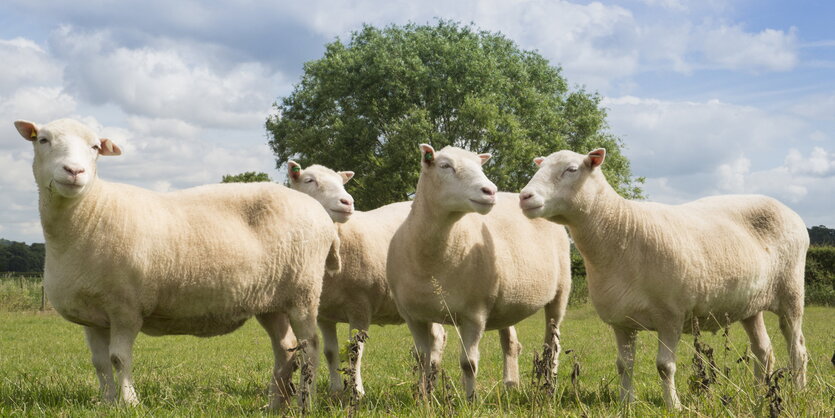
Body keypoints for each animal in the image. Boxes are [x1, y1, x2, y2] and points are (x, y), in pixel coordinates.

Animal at [13, 118, 340, 412]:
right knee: (286, 349)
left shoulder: (125, 308)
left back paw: (306, 402)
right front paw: (106, 403)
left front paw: (130, 403)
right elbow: (100, 363)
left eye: (95, 147)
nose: (74, 171)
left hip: (304, 291)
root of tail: (322, 216)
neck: (91, 211)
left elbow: (119, 358)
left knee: (310, 346)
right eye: (43, 140)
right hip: (271, 301)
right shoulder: (92, 317)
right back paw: (276, 404)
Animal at [286, 162, 524, 396]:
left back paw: (510, 383)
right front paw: (335, 391)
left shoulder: (360, 307)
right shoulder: (324, 314)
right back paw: (433, 382)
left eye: (341, 182)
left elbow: (355, 352)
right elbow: (330, 352)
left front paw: (357, 391)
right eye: (309, 180)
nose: (347, 202)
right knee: (438, 338)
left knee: (508, 339)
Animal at [386, 145, 572, 400]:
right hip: (508, 301)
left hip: (561, 292)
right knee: (511, 342)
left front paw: (470, 399)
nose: (490, 191)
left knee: (552, 346)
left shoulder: (474, 313)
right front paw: (423, 398)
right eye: (445, 165)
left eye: (479, 165)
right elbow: (423, 359)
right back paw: (511, 384)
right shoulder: (413, 316)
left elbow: (468, 363)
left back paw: (549, 386)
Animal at [524, 149, 808, 410]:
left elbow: (664, 366)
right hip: (750, 305)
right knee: (764, 350)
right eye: (540, 166)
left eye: (571, 169)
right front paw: (625, 403)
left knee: (797, 347)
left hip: (792, 293)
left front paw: (674, 406)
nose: (525, 197)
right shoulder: (621, 321)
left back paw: (797, 391)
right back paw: (760, 394)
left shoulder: (671, 316)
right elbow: (624, 365)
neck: (620, 231)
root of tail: (789, 211)